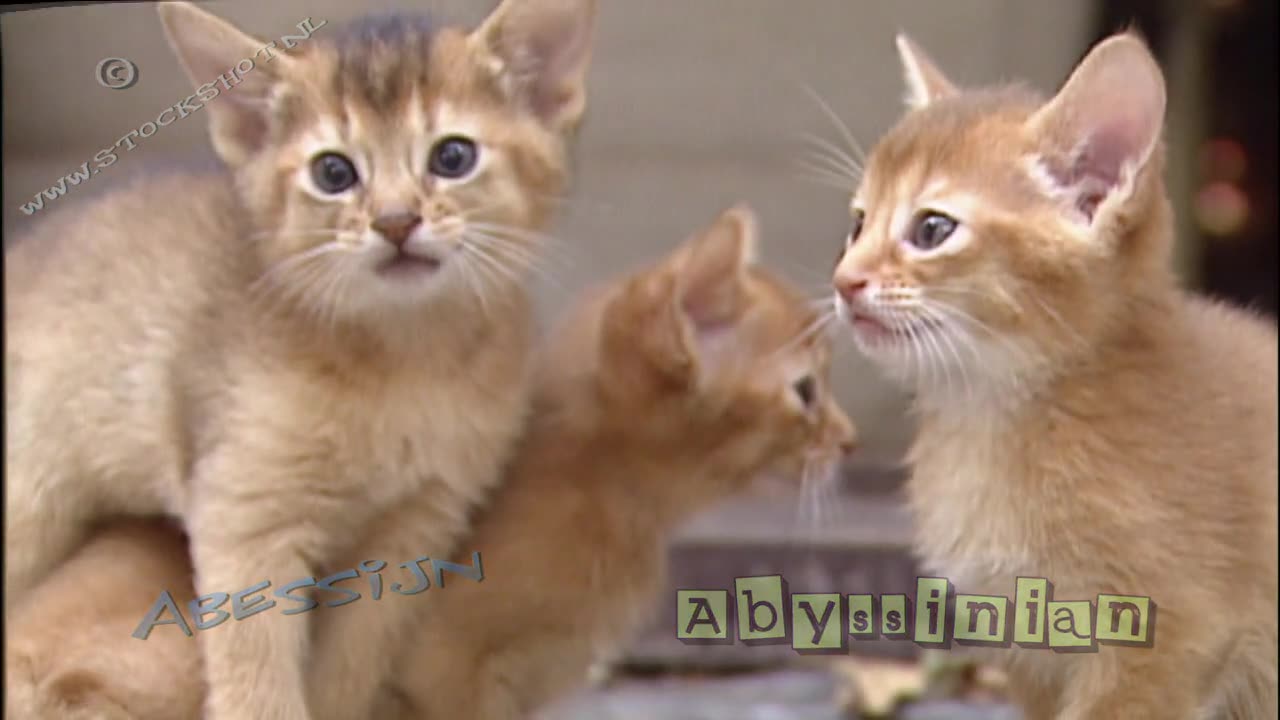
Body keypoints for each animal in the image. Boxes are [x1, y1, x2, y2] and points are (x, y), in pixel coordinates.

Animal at [5, 1, 596, 717]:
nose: (396, 222)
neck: (403, 360)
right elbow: (255, 683)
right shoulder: (245, 519)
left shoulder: (414, 530)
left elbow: (345, 672)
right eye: (333, 173)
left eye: (453, 156)